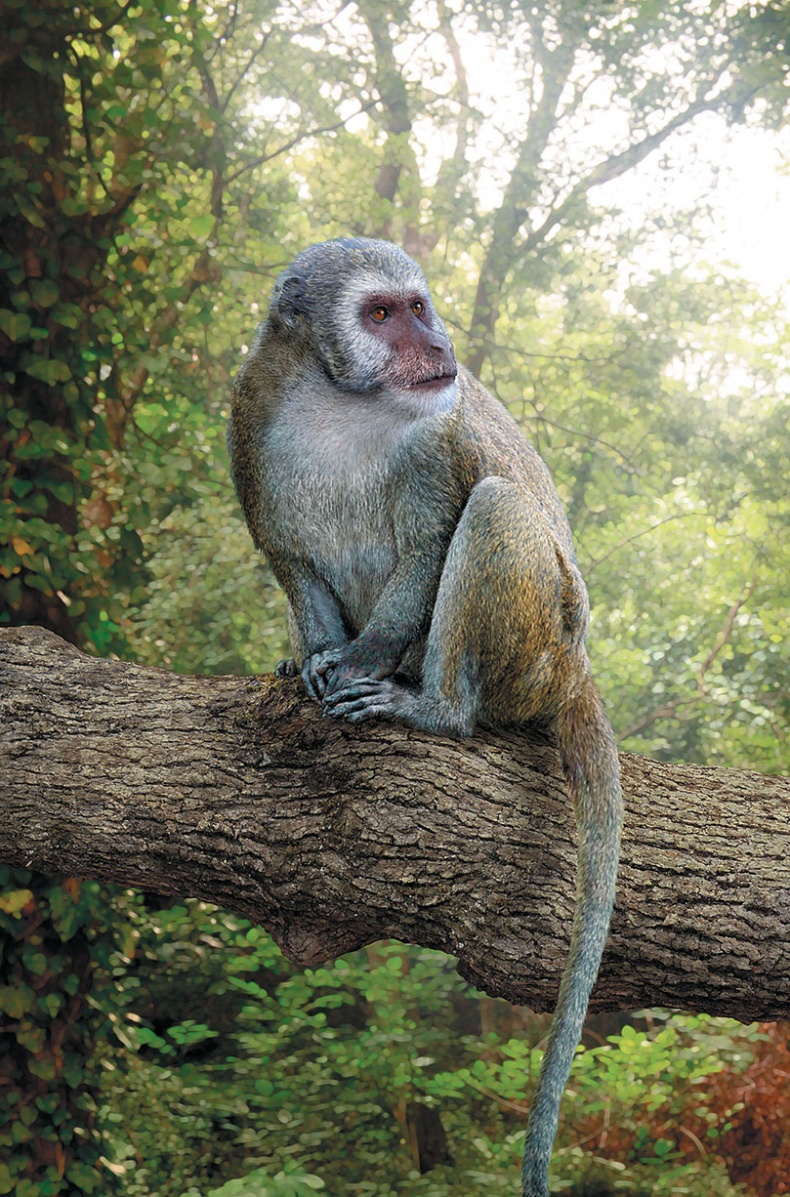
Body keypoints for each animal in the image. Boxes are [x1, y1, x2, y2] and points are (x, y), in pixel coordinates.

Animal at [228, 237, 623, 1197]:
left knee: (494, 505)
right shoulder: (249, 409)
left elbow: (432, 539)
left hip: (536, 648)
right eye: (382, 314)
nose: (436, 345)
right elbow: (289, 557)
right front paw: (315, 660)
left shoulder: (438, 435)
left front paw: (361, 661)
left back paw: (433, 706)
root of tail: (575, 669)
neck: (338, 400)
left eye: (418, 305)